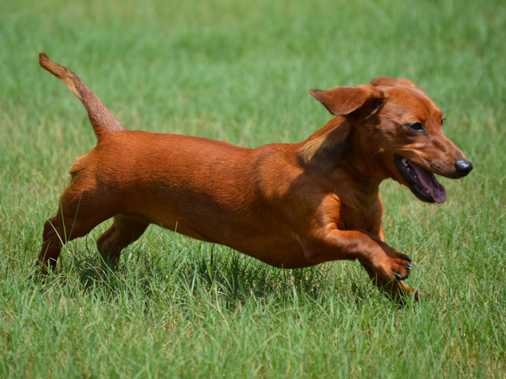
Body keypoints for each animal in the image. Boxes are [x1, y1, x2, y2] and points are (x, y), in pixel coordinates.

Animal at [37, 53, 472, 300]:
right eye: (414, 126)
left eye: (442, 121)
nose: (466, 167)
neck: (345, 181)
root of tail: (113, 134)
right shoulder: (317, 237)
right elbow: (361, 243)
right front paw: (394, 266)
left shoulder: (368, 227)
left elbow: (375, 252)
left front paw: (405, 291)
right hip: (84, 207)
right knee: (52, 230)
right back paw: (43, 275)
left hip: (133, 219)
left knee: (106, 244)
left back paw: (114, 280)